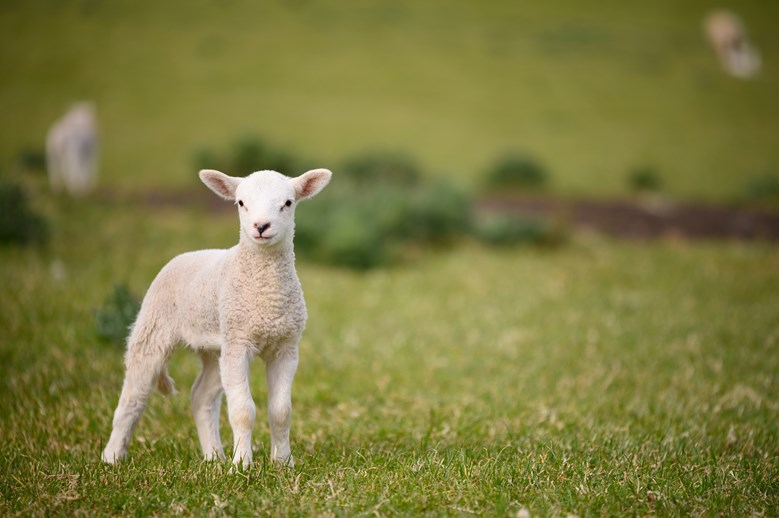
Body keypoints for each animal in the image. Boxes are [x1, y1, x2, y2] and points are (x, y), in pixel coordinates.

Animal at [102, 169, 334, 470]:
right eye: (241, 203)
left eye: (288, 203)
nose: (261, 226)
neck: (266, 294)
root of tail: (190, 254)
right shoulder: (238, 342)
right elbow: (243, 410)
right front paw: (242, 465)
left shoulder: (285, 346)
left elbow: (281, 411)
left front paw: (283, 463)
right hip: (155, 326)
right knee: (133, 395)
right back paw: (111, 457)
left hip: (216, 347)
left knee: (201, 397)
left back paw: (214, 456)